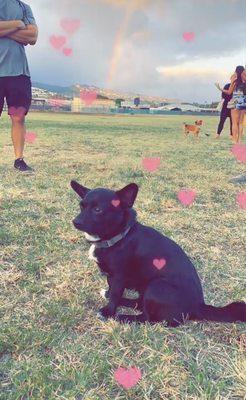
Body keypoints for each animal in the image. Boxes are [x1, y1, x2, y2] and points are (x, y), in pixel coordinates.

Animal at [70, 181, 245, 328]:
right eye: (81, 206)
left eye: (98, 210)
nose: (75, 222)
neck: (120, 237)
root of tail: (198, 307)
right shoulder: (111, 276)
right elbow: (113, 290)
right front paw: (110, 298)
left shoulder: (119, 276)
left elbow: (115, 294)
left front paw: (108, 312)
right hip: (146, 287)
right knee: (139, 303)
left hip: (157, 286)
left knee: (147, 318)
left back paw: (122, 317)